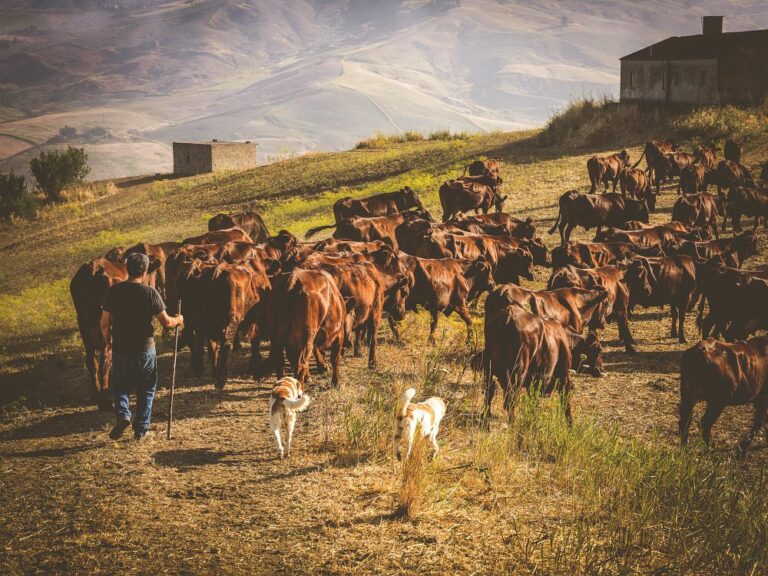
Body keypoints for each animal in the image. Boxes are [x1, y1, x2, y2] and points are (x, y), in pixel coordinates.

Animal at [71, 256, 159, 410]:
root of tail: (94, 267)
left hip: (83, 323)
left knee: (91, 360)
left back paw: (96, 395)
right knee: (105, 360)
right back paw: (106, 401)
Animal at [476, 300, 604, 420]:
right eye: (598, 350)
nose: (601, 369)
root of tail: (509, 314)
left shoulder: (534, 383)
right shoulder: (563, 376)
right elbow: (566, 405)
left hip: (489, 369)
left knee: (490, 393)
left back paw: (485, 418)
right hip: (518, 372)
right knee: (511, 398)